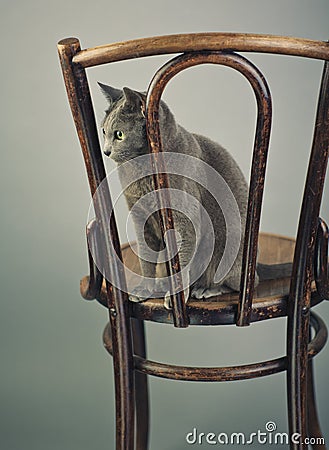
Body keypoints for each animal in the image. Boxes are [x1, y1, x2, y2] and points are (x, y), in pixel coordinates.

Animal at [98, 82, 290, 308]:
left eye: (119, 134)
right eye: (103, 131)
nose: (105, 151)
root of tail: (256, 265)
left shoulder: (184, 221)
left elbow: (182, 259)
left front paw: (176, 296)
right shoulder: (140, 217)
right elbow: (146, 259)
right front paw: (145, 289)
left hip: (229, 248)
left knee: (237, 282)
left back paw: (206, 289)